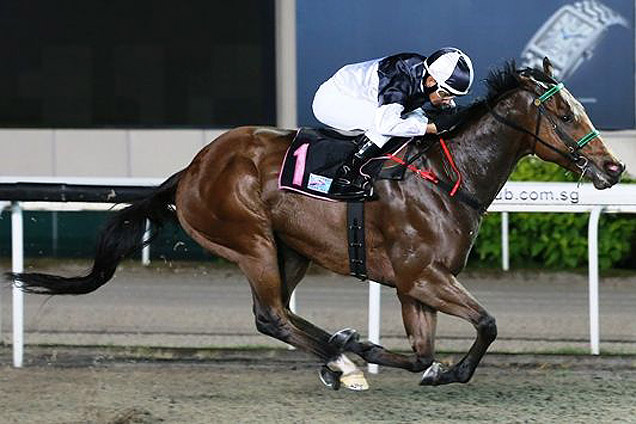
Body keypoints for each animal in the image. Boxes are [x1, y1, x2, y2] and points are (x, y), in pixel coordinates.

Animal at [12, 57, 624, 390]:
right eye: (564, 112)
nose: (614, 167)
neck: (447, 177)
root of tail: (192, 168)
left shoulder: (415, 285)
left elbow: (424, 353)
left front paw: (387, 354)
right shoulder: (422, 276)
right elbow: (488, 324)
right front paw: (418, 364)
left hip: (292, 249)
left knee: (277, 315)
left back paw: (341, 353)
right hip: (252, 240)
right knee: (273, 316)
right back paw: (340, 356)